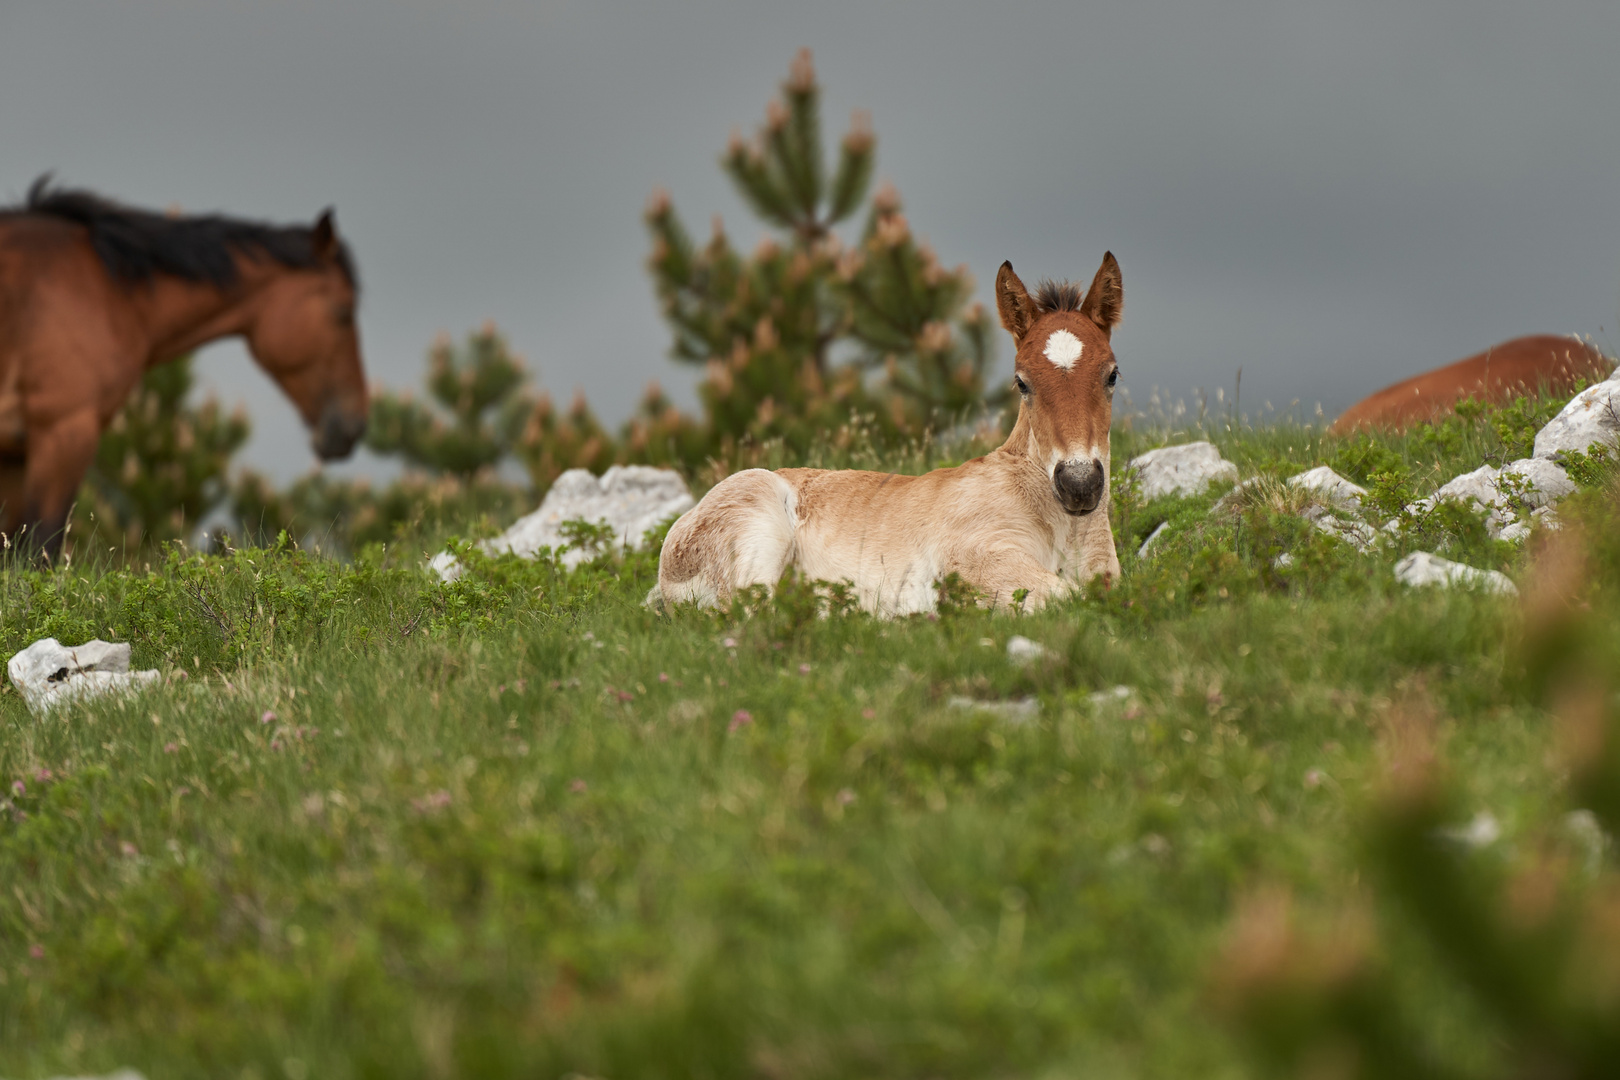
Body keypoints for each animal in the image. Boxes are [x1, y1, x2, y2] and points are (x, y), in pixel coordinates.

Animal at [0, 179, 366, 557]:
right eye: (343, 311)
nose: (354, 424)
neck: (101, 288)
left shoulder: (15, 454)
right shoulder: (65, 431)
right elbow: (41, 548)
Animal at [651, 247, 1121, 612]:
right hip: (757, 522)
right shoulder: (976, 556)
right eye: (1022, 382)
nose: (1079, 484)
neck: (1061, 525)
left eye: (1112, 375)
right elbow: (1065, 597)